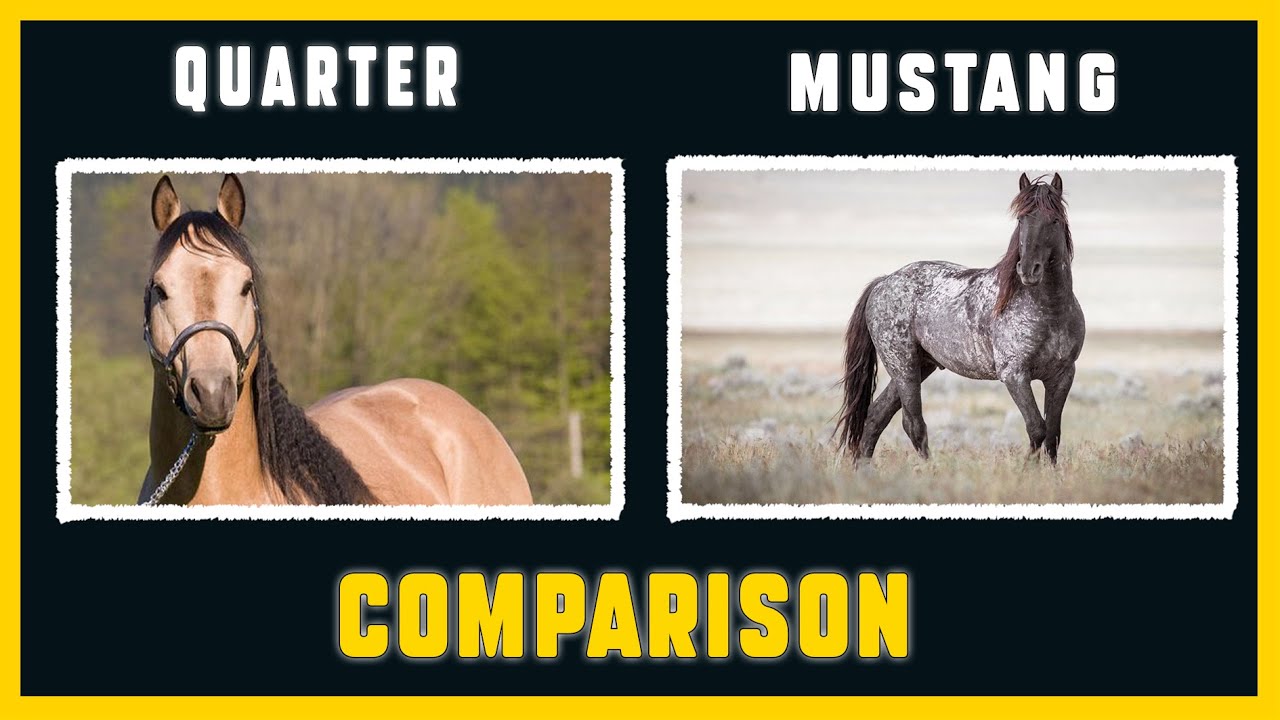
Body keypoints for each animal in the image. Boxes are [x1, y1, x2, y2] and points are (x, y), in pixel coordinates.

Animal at [834, 172, 1086, 465]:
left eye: (1054, 219)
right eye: (1021, 219)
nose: (1028, 270)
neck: (1049, 310)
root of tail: (884, 282)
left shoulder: (1062, 375)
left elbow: (1053, 434)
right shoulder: (1015, 375)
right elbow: (1037, 428)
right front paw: (1027, 470)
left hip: (919, 366)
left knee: (876, 417)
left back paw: (864, 470)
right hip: (902, 365)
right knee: (913, 424)